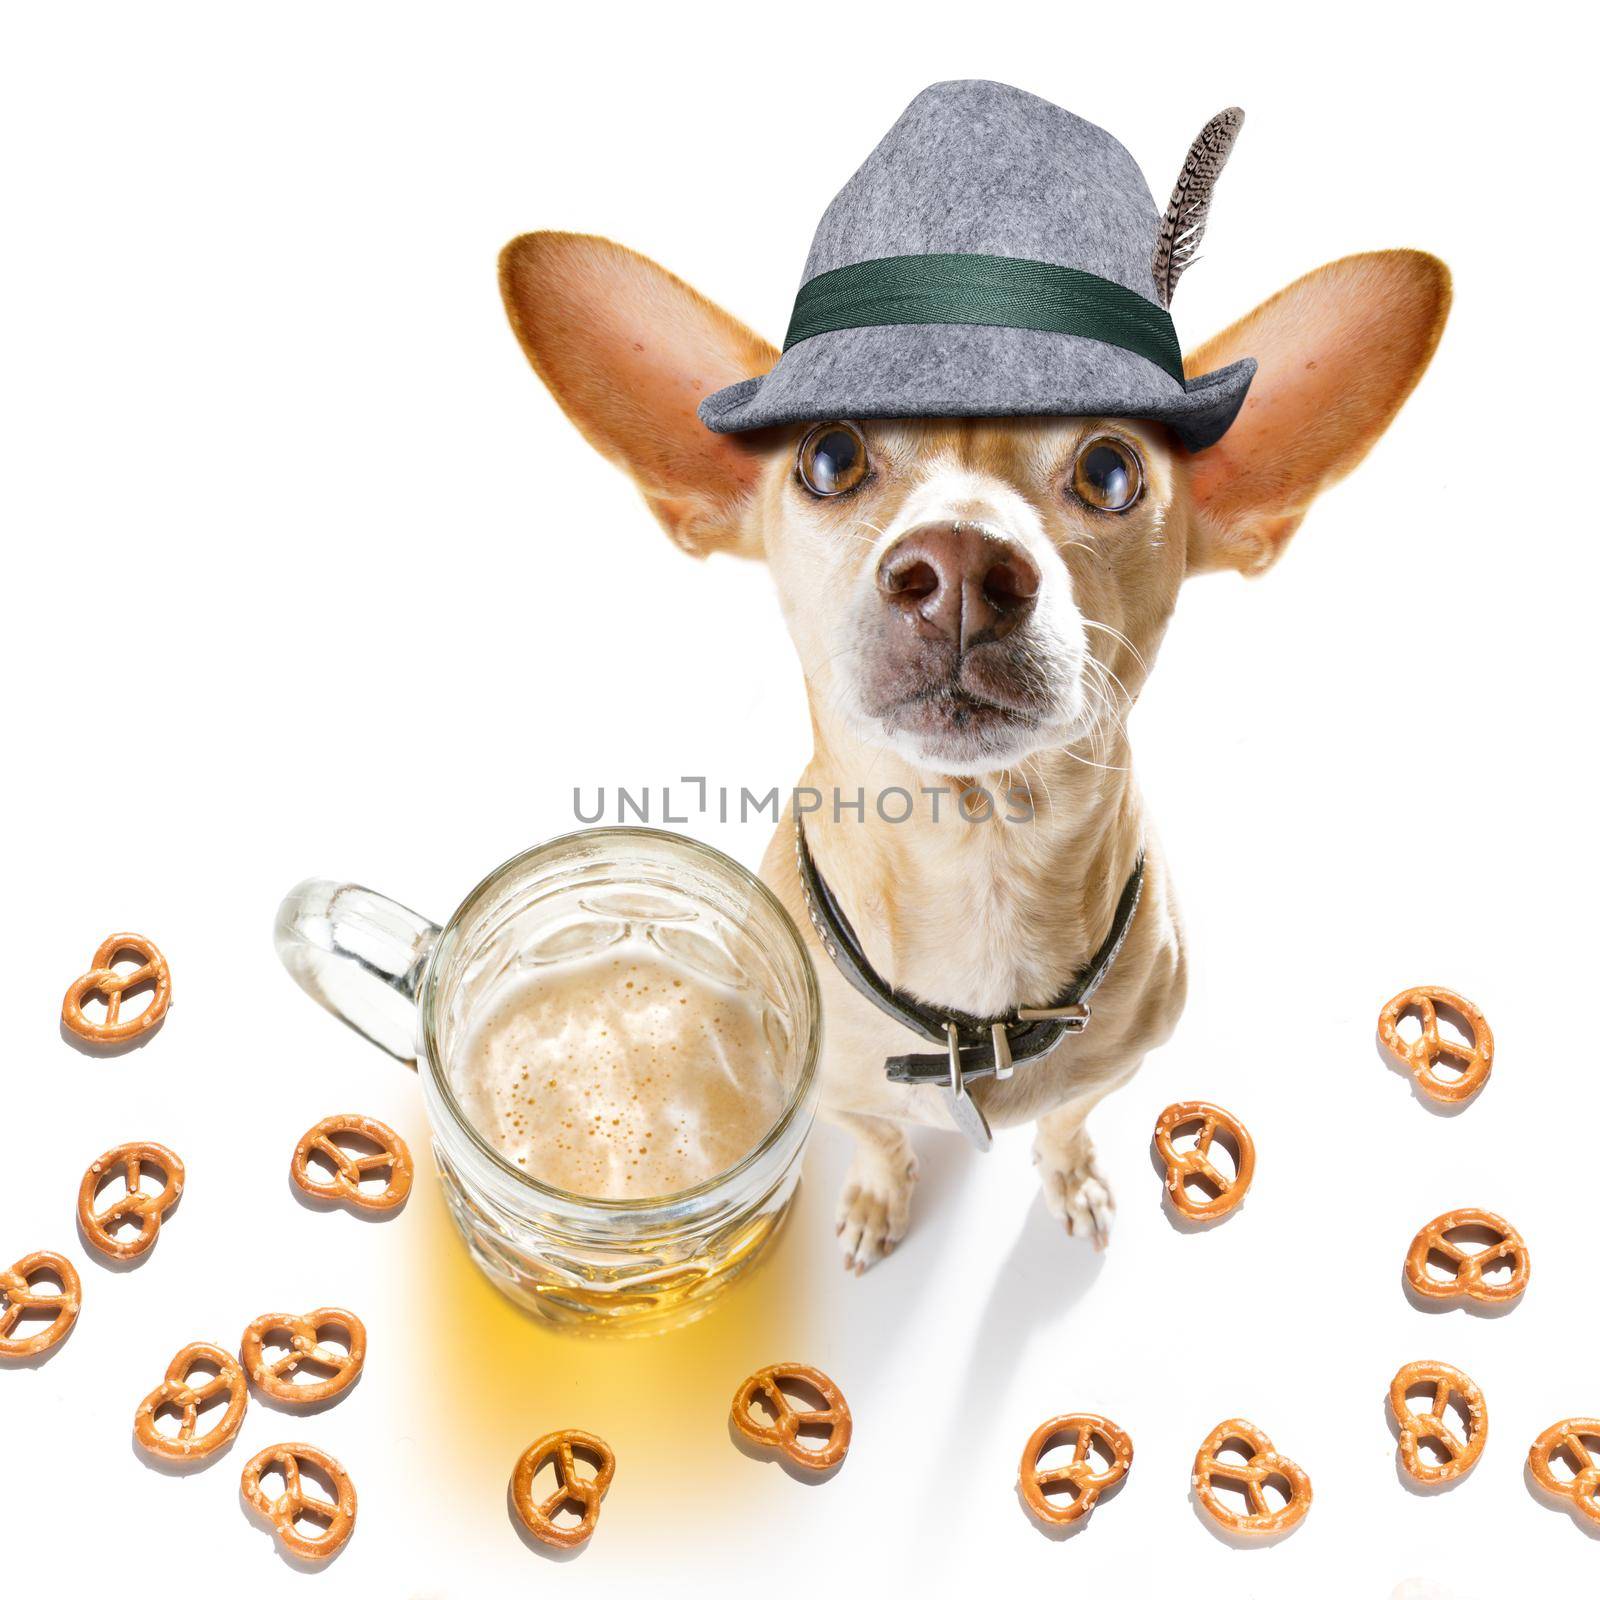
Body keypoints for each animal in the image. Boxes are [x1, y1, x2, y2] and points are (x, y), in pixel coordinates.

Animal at [499, 232, 1452, 1267]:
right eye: (829, 456)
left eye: (1111, 471)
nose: (958, 564)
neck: (979, 866)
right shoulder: (835, 1093)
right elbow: (879, 1135)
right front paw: (878, 1198)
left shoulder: (1110, 1074)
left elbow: (1067, 1120)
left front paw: (1071, 1178)